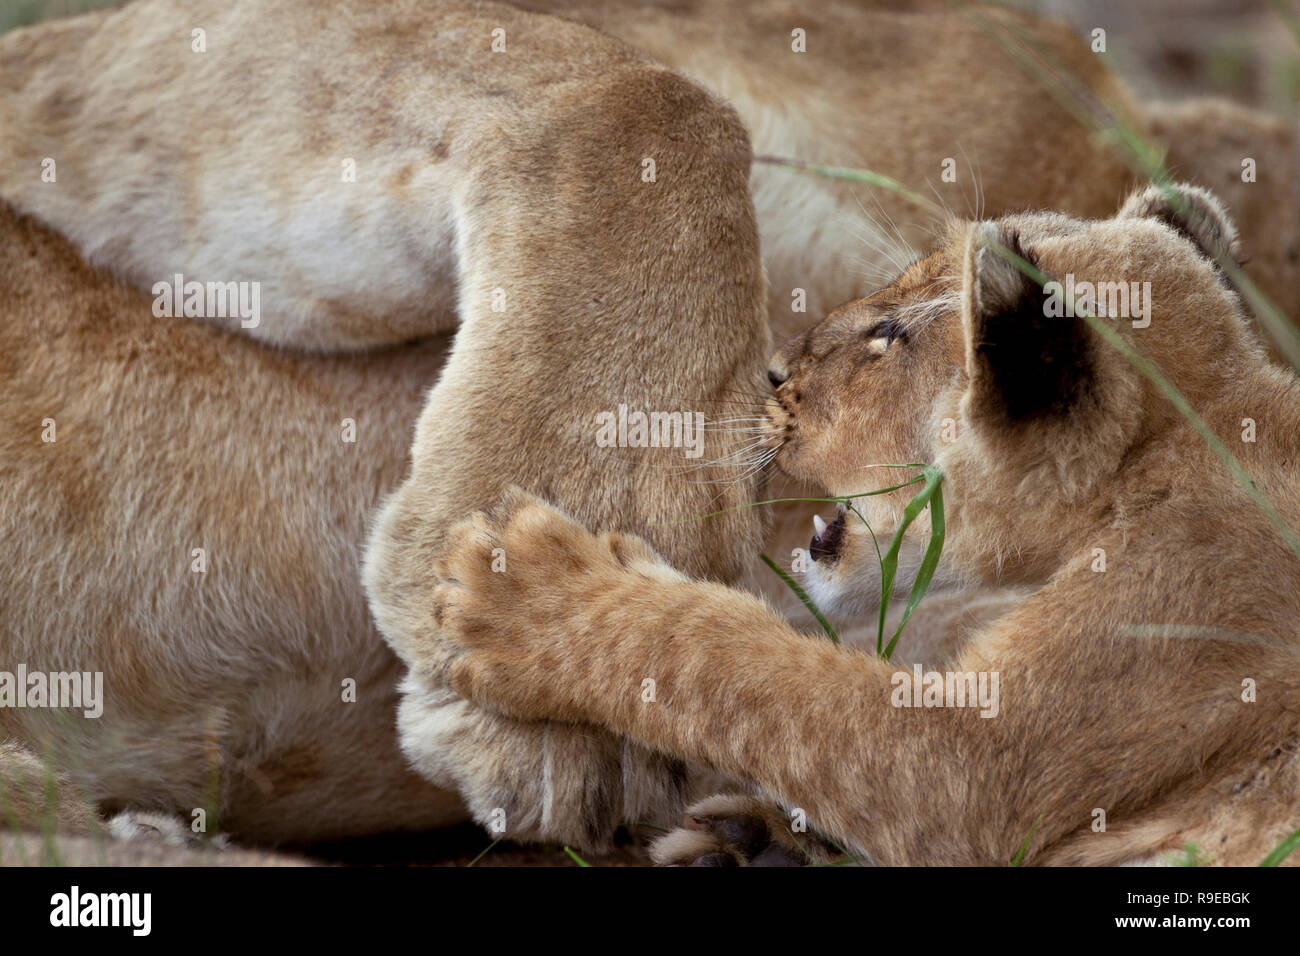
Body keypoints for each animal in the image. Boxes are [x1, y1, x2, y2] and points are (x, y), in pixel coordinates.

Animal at [428, 183, 1300, 866]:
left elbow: (744, 666)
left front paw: (522, 589)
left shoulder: (977, 764)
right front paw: (760, 839)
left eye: (892, 335)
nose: (774, 371)